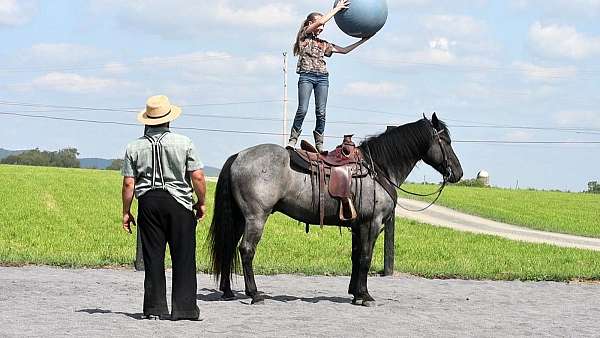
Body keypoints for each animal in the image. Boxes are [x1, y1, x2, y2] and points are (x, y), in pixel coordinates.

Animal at [207, 113, 464, 306]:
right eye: (446, 141)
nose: (458, 173)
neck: (378, 169)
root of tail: (239, 156)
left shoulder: (357, 226)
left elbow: (356, 257)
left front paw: (355, 292)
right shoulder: (371, 223)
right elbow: (365, 257)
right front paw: (365, 296)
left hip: (240, 218)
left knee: (229, 246)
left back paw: (228, 291)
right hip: (256, 217)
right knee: (246, 250)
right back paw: (255, 294)